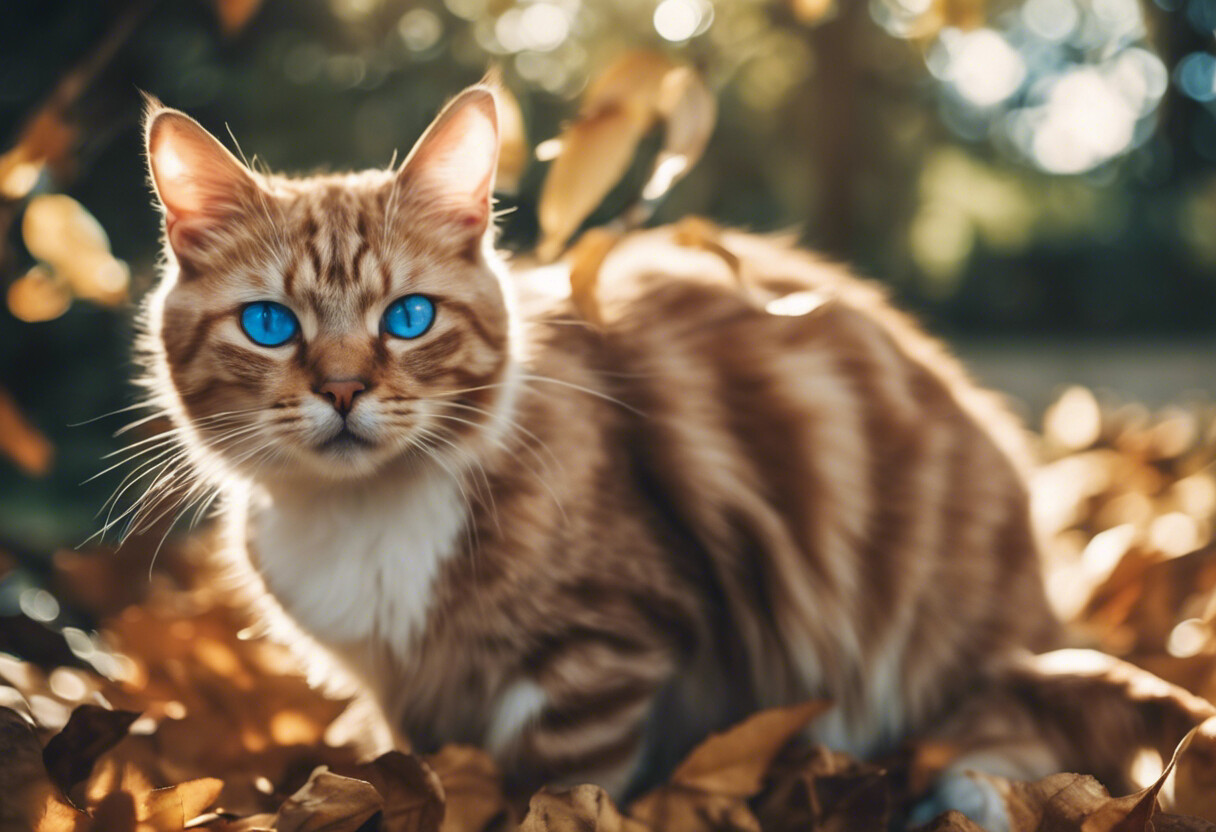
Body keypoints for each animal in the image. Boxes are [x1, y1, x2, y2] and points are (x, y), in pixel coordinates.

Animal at [138, 82, 1211, 827]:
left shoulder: (601, 656)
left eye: (408, 318)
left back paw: (963, 799)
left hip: (929, 648)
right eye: (270, 325)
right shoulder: (411, 707)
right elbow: (438, 781)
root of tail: (1037, 608)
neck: (369, 525)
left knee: (1005, 731)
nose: (343, 390)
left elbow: (554, 793)